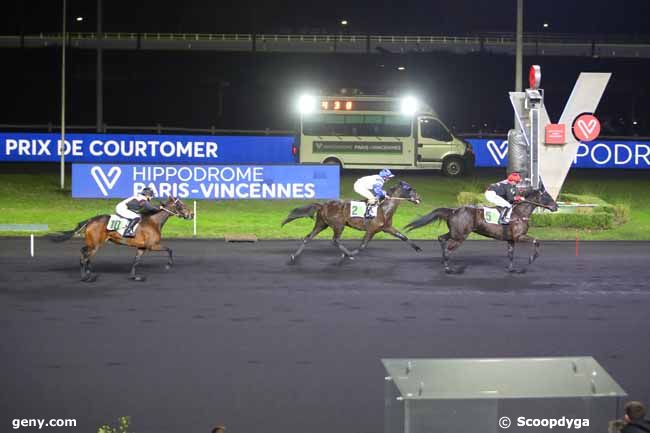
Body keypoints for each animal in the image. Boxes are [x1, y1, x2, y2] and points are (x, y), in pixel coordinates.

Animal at [51, 197, 192, 284]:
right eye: (181, 204)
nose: (191, 214)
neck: (153, 221)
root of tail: (91, 220)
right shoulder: (152, 245)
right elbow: (169, 249)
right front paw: (168, 265)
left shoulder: (142, 247)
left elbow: (136, 261)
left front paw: (134, 277)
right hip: (96, 244)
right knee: (84, 256)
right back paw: (86, 277)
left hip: (93, 243)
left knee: (84, 253)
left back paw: (89, 272)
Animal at [280, 180, 422, 264]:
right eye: (410, 189)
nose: (419, 198)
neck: (383, 208)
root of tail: (322, 205)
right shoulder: (371, 230)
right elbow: (363, 246)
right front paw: (351, 254)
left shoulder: (387, 227)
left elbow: (402, 236)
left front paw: (418, 248)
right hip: (338, 225)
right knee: (335, 240)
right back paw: (347, 254)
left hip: (321, 224)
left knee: (308, 238)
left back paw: (294, 256)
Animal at [402, 186, 556, 274]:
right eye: (547, 196)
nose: (555, 207)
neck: (519, 214)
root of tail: (453, 211)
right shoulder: (519, 236)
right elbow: (536, 241)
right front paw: (530, 259)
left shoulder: (511, 239)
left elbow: (511, 254)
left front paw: (512, 269)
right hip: (460, 236)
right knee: (449, 248)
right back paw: (449, 269)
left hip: (455, 233)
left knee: (441, 238)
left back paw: (444, 262)